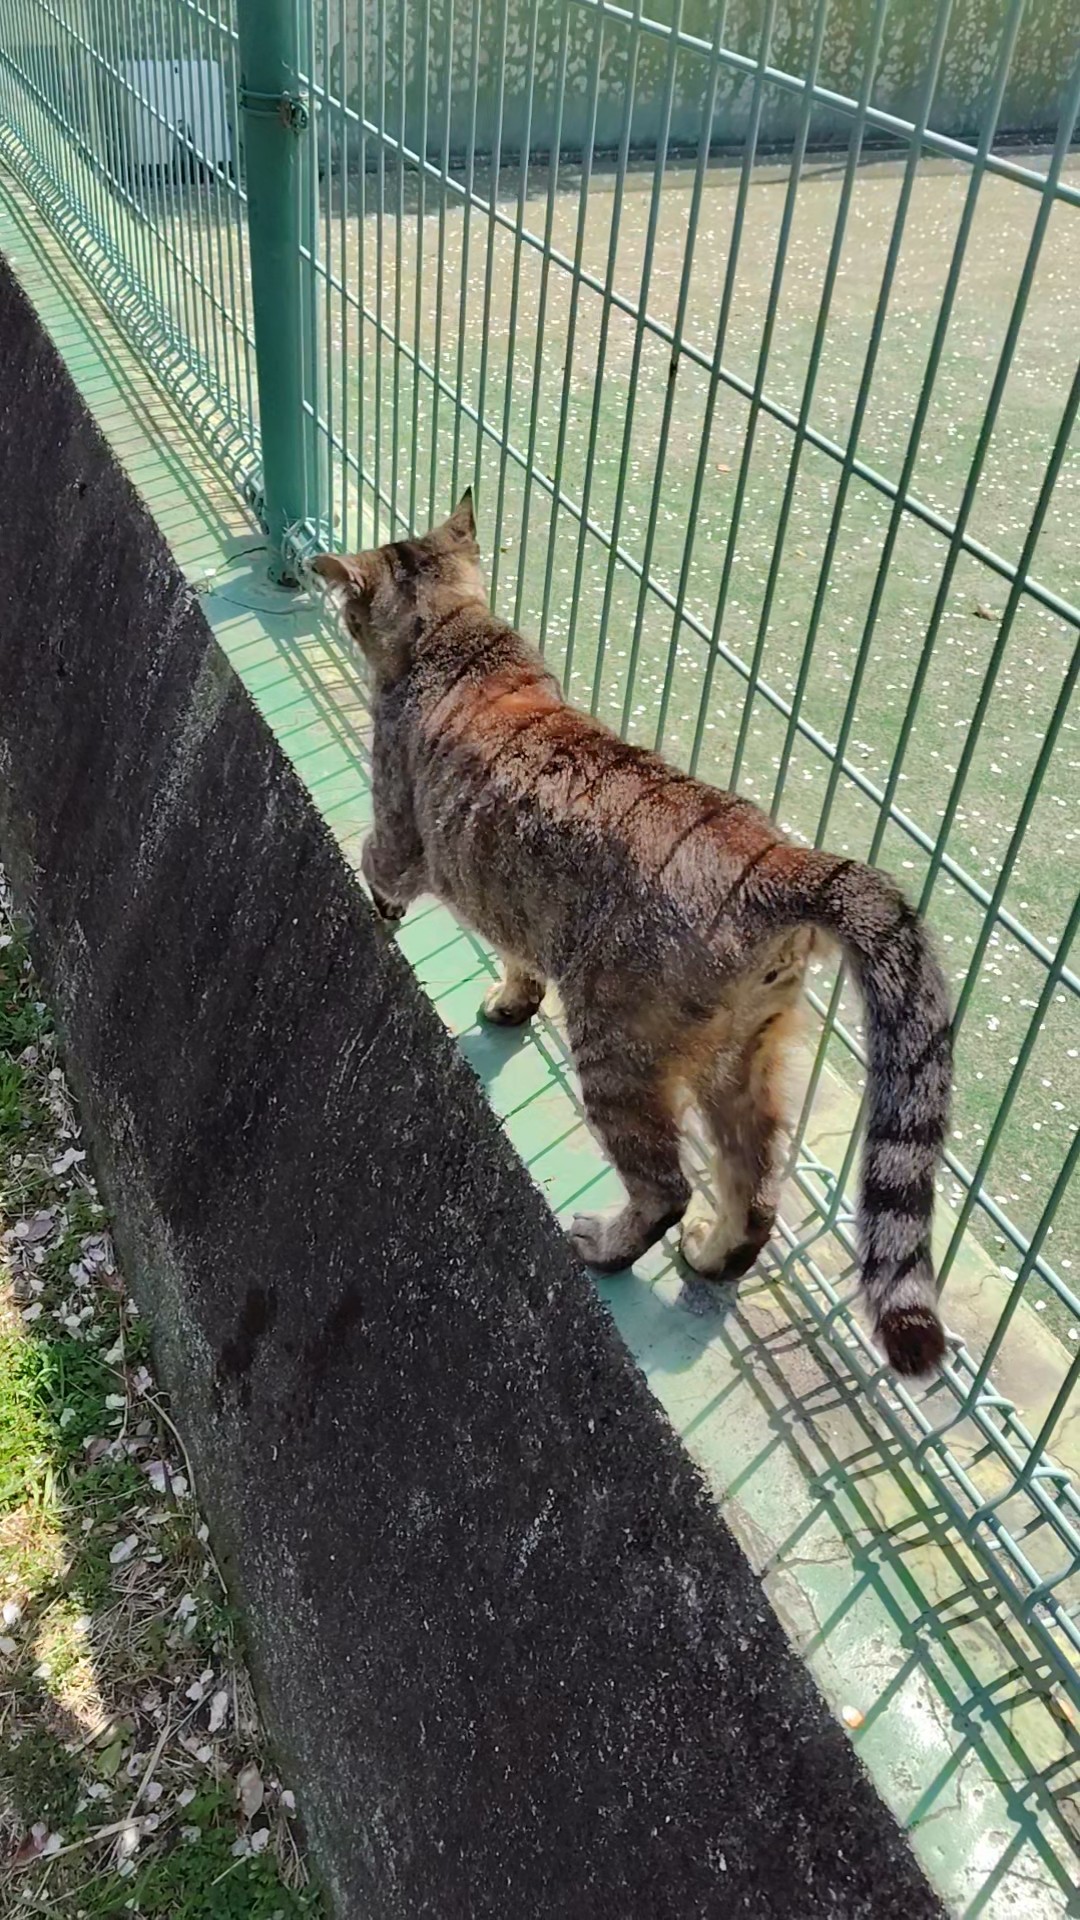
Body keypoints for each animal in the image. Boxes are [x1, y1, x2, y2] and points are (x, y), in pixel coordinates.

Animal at [312, 493, 952, 1377]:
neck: (461, 638)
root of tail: (779, 857)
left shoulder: (402, 834)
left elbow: (379, 864)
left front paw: (379, 908)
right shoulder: (518, 906)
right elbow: (518, 955)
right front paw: (512, 1000)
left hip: (618, 1050)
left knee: (666, 1186)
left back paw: (607, 1247)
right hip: (740, 1061)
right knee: (755, 1189)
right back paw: (714, 1255)